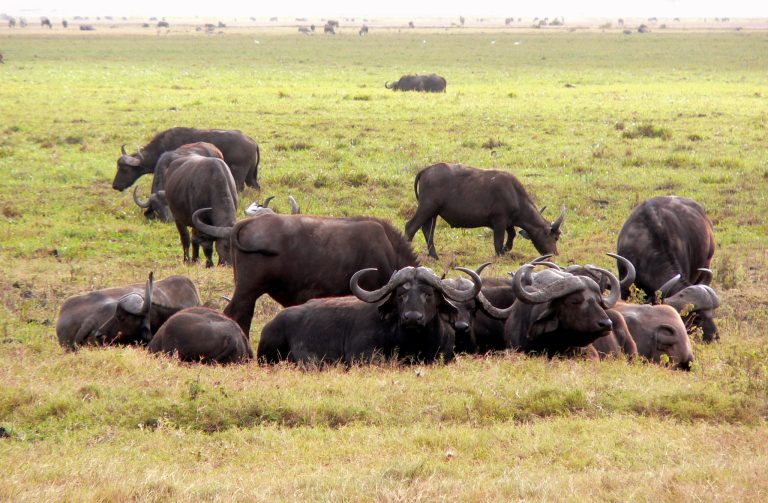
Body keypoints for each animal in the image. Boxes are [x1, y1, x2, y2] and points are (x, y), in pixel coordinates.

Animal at [113, 127, 261, 192]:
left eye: (125, 169)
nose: (115, 185)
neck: (161, 147)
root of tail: (252, 141)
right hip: (250, 176)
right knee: (256, 186)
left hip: (239, 175)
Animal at [192, 213, 418, 335]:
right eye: (402, 295)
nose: (414, 318)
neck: (388, 252)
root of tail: (242, 225)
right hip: (248, 288)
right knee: (234, 312)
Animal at [405, 163, 565, 259]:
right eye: (555, 237)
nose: (555, 254)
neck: (515, 194)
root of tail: (426, 170)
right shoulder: (499, 221)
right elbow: (498, 240)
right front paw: (500, 254)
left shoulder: (508, 222)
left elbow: (512, 235)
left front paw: (506, 249)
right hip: (427, 208)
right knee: (411, 227)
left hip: (433, 213)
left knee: (427, 230)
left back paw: (435, 256)